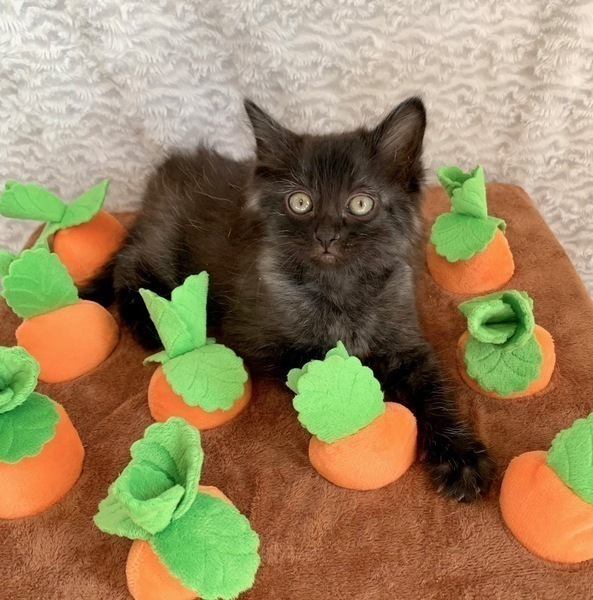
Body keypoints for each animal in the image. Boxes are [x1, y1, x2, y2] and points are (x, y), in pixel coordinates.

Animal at [85, 97, 495, 501]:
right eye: (300, 202)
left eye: (361, 204)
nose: (326, 236)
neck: (338, 289)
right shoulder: (258, 339)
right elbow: (323, 361)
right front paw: (364, 381)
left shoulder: (405, 337)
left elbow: (434, 390)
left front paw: (460, 456)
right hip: (163, 246)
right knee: (130, 267)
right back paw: (145, 323)